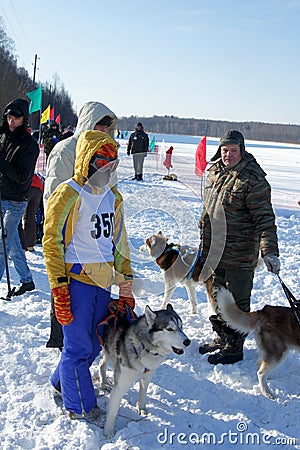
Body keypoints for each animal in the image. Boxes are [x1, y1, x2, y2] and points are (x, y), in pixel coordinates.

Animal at [100, 304, 190, 438]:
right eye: (169, 329)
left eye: (181, 326)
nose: (187, 341)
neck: (144, 346)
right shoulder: (121, 384)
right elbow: (113, 409)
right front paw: (108, 431)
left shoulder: (147, 375)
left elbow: (143, 392)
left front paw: (141, 408)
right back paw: (103, 384)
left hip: (108, 352)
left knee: (101, 364)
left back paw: (104, 383)